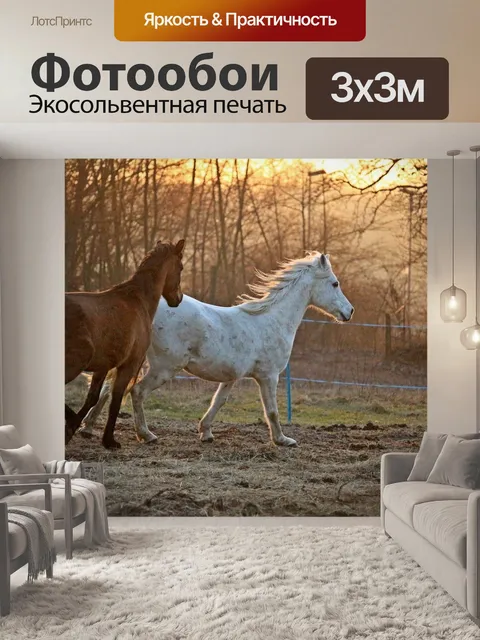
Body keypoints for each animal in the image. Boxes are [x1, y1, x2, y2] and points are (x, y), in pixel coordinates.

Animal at [65, 239, 185, 449]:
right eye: (181, 267)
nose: (178, 299)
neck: (138, 300)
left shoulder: (103, 366)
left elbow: (93, 398)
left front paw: (78, 428)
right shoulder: (129, 364)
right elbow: (116, 399)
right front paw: (108, 440)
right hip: (74, 363)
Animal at [81, 252, 354, 447]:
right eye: (334, 283)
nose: (349, 312)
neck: (271, 321)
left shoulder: (231, 377)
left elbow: (218, 402)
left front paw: (206, 432)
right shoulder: (268, 376)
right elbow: (272, 411)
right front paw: (283, 440)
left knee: (109, 389)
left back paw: (87, 428)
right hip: (163, 367)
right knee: (136, 392)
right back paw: (146, 435)